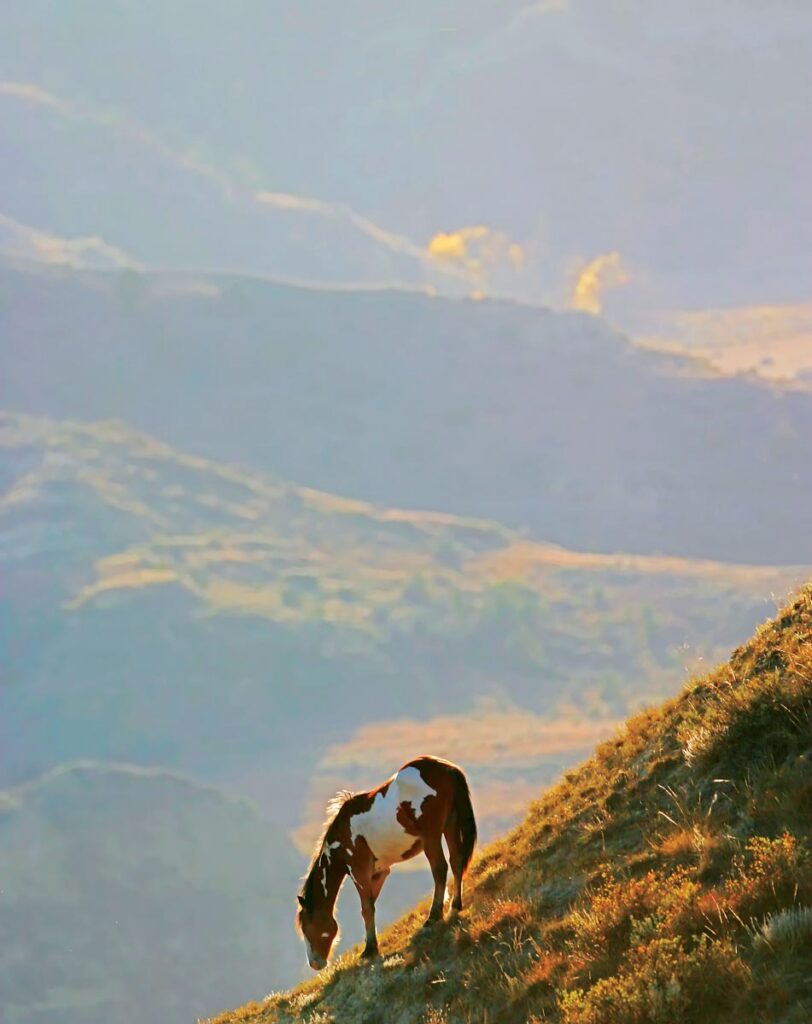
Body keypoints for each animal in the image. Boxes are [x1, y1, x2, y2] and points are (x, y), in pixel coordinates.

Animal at [296, 755, 477, 970]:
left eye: (307, 928)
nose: (315, 963)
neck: (341, 837)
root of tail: (446, 768)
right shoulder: (379, 872)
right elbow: (370, 906)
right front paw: (371, 945)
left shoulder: (358, 871)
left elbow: (366, 909)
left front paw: (369, 951)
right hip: (450, 823)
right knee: (457, 861)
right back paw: (455, 906)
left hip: (431, 837)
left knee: (440, 869)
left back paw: (433, 917)